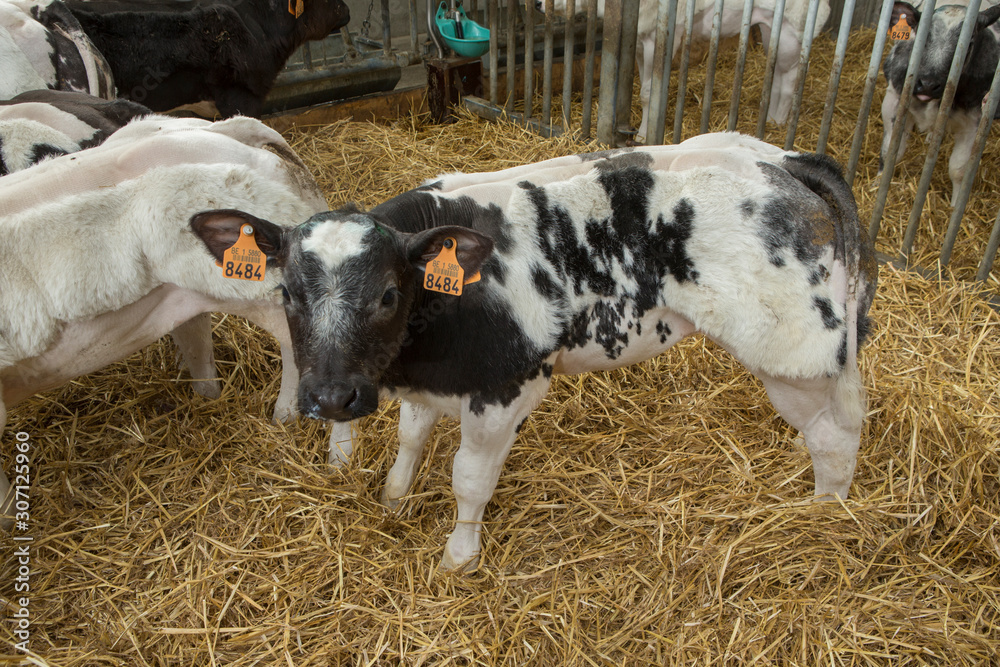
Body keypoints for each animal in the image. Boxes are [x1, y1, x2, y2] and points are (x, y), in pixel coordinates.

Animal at [0, 115, 355, 523]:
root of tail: (227, 128)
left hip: (266, 291)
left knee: (293, 347)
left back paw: (291, 422)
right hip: (190, 295)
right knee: (200, 348)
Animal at [190, 133, 879, 571]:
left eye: (388, 293)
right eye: (287, 291)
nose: (331, 397)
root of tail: (781, 159)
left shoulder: (506, 386)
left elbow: (468, 479)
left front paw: (458, 557)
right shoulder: (436, 379)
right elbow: (411, 437)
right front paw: (393, 497)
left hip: (793, 349)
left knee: (838, 433)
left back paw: (825, 515)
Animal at [544, 0, 830, 143]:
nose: (538, 4)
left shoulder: (660, 37)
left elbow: (649, 92)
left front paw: (644, 136)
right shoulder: (640, 42)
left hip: (794, 30)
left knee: (790, 78)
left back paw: (779, 122)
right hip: (772, 32)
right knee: (779, 72)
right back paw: (771, 120)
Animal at [881, 1, 1000, 205]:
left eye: (968, 44)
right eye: (923, 36)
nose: (928, 84)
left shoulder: (975, 121)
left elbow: (958, 170)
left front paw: (955, 206)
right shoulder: (894, 99)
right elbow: (891, 150)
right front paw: (877, 184)